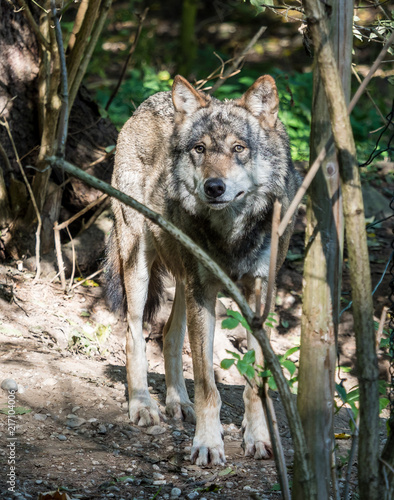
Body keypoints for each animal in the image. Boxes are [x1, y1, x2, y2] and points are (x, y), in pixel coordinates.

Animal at [106, 74, 300, 464]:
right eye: (200, 149)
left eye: (239, 148)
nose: (214, 187)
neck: (231, 233)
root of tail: (148, 101)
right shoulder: (204, 290)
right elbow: (208, 385)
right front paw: (208, 444)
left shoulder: (260, 296)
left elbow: (254, 383)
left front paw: (258, 438)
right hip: (140, 263)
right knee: (134, 334)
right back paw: (143, 405)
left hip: (183, 279)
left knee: (169, 334)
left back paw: (178, 403)